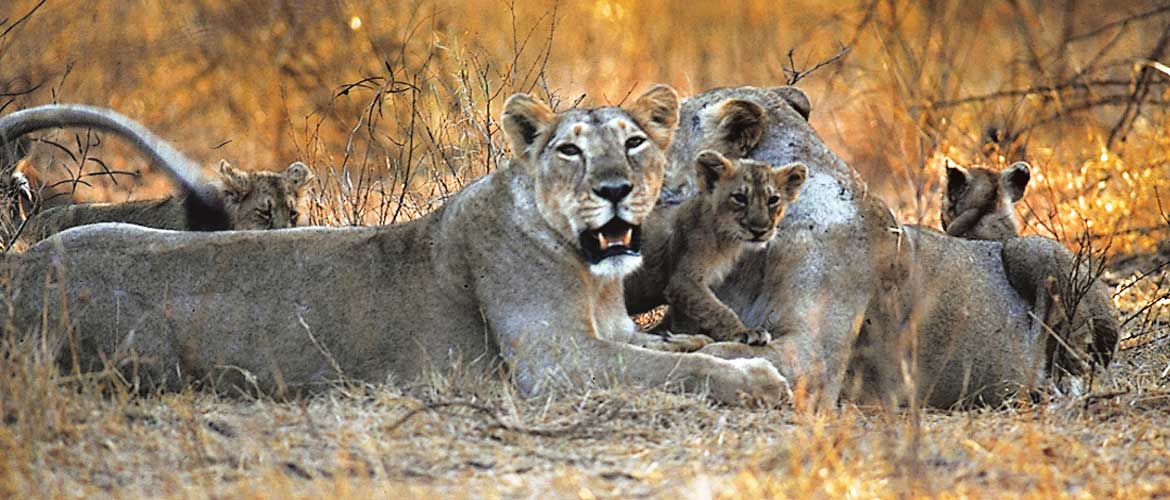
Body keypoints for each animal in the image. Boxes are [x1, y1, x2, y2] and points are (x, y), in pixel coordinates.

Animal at [625, 150, 807, 346]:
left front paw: (678, 338)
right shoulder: (683, 280)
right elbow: (716, 310)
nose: (759, 231)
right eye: (740, 197)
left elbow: (688, 320)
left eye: (773, 200)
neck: (726, 239)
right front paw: (745, 332)